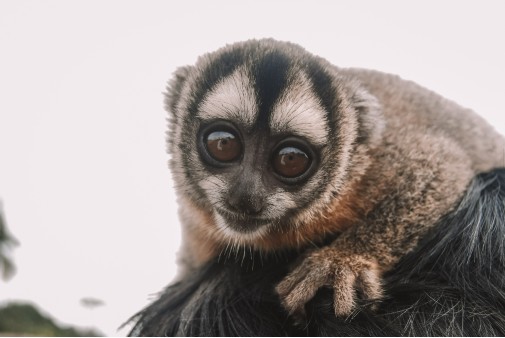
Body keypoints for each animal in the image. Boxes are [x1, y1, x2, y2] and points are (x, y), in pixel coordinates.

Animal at [164, 39, 504, 316]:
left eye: (290, 160)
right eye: (223, 144)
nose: (246, 197)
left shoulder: (371, 167)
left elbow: (442, 166)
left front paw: (342, 260)